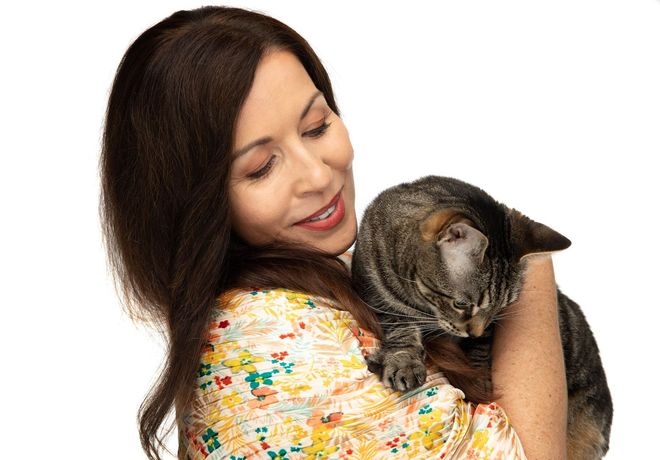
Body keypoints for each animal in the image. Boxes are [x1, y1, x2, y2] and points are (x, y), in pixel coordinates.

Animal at [350, 174, 612, 458]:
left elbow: (480, 355)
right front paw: (404, 360)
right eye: (461, 304)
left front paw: (478, 378)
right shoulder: (374, 289)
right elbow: (400, 325)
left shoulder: (488, 331)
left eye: (500, 308)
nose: (473, 332)